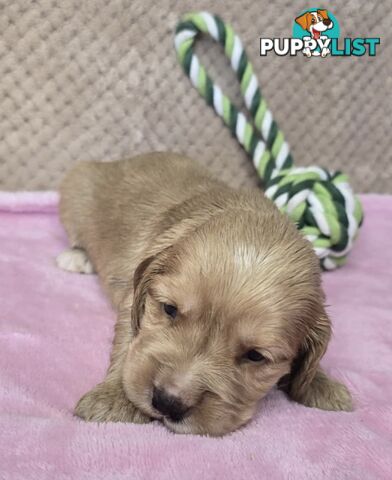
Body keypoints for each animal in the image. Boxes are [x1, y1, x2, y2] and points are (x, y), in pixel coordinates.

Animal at [57, 153, 352, 436]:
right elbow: (129, 339)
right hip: (76, 187)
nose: (168, 402)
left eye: (255, 356)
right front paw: (114, 398)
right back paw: (77, 257)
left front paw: (321, 384)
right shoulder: (135, 294)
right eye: (170, 309)